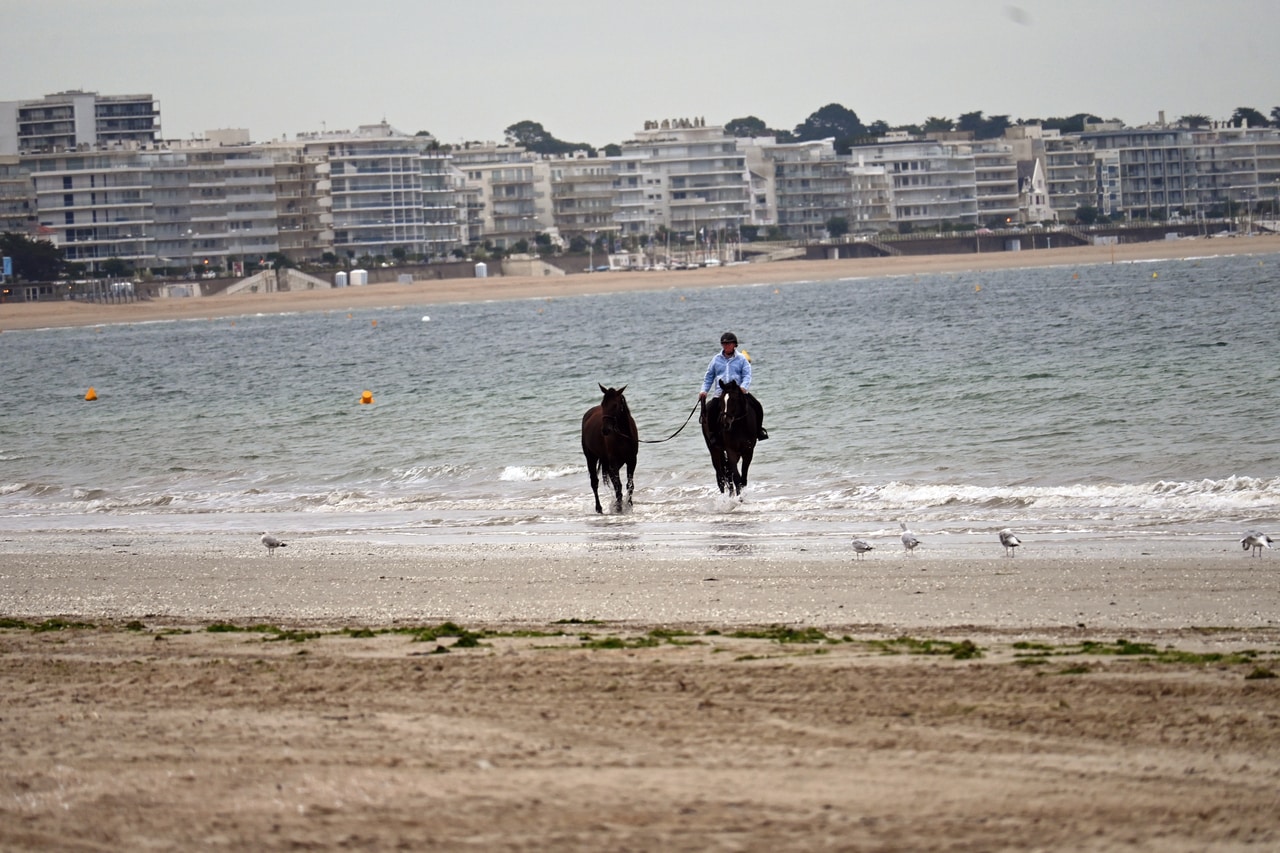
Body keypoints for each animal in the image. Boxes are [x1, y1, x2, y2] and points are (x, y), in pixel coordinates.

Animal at [583, 384, 637, 512]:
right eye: (603, 404)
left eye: (615, 405)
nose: (605, 430)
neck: (623, 435)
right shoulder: (614, 462)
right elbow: (618, 486)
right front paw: (619, 507)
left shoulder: (632, 460)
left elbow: (630, 485)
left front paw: (628, 505)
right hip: (591, 457)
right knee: (594, 482)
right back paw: (599, 508)